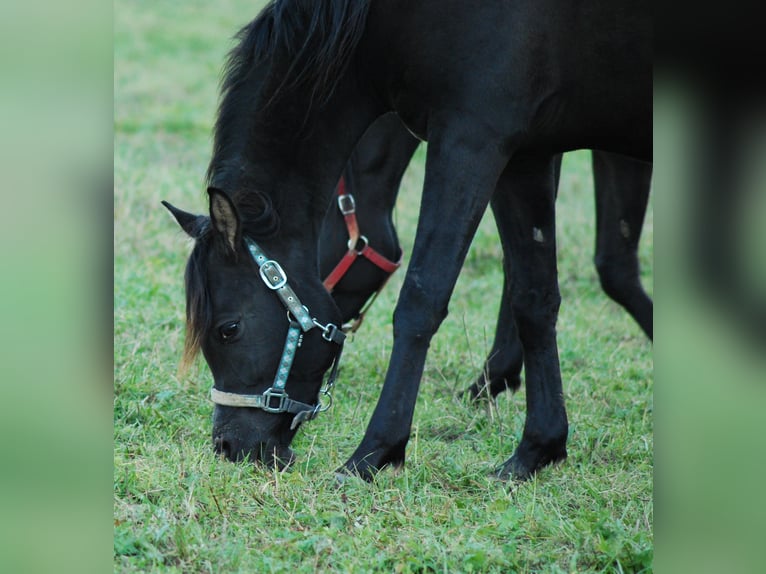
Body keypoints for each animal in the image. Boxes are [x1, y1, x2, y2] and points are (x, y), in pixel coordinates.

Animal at [165, 0, 652, 482]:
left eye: (228, 329)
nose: (228, 446)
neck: (390, 23)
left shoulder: (471, 141)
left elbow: (422, 299)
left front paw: (373, 453)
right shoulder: (526, 156)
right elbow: (533, 298)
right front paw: (536, 449)